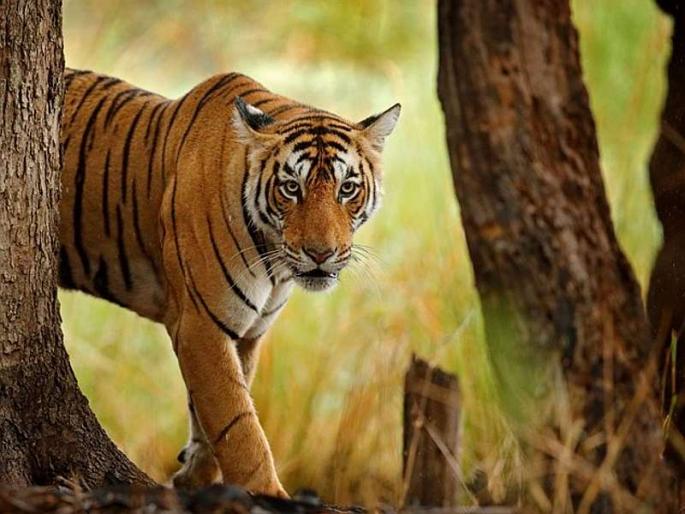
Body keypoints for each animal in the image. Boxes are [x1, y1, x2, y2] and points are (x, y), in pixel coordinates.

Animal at [59, 68, 400, 496]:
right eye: (292, 188)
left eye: (347, 188)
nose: (320, 254)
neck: (275, 265)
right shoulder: (200, 324)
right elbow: (237, 422)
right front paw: (266, 493)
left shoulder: (247, 331)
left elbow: (214, 408)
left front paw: (196, 477)